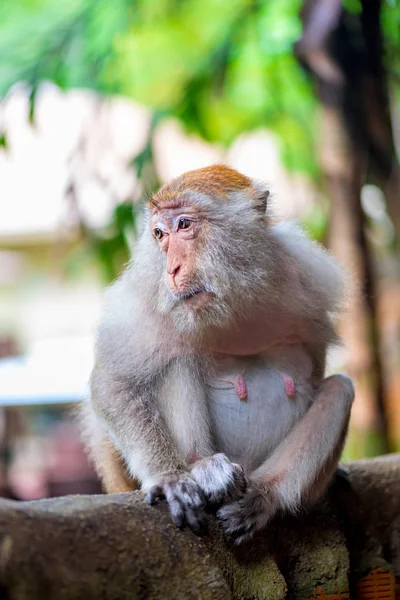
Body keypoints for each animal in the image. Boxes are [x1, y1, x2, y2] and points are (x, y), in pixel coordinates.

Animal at [83, 164, 354, 544]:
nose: (172, 270)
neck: (232, 296)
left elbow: (316, 370)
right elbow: (114, 383)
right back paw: (203, 466)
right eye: (159, 234)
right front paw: (169, 477)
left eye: (184, 224)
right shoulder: (144, 296)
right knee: (176, 361)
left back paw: (262, 496)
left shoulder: (310, 277)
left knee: (339, 388)